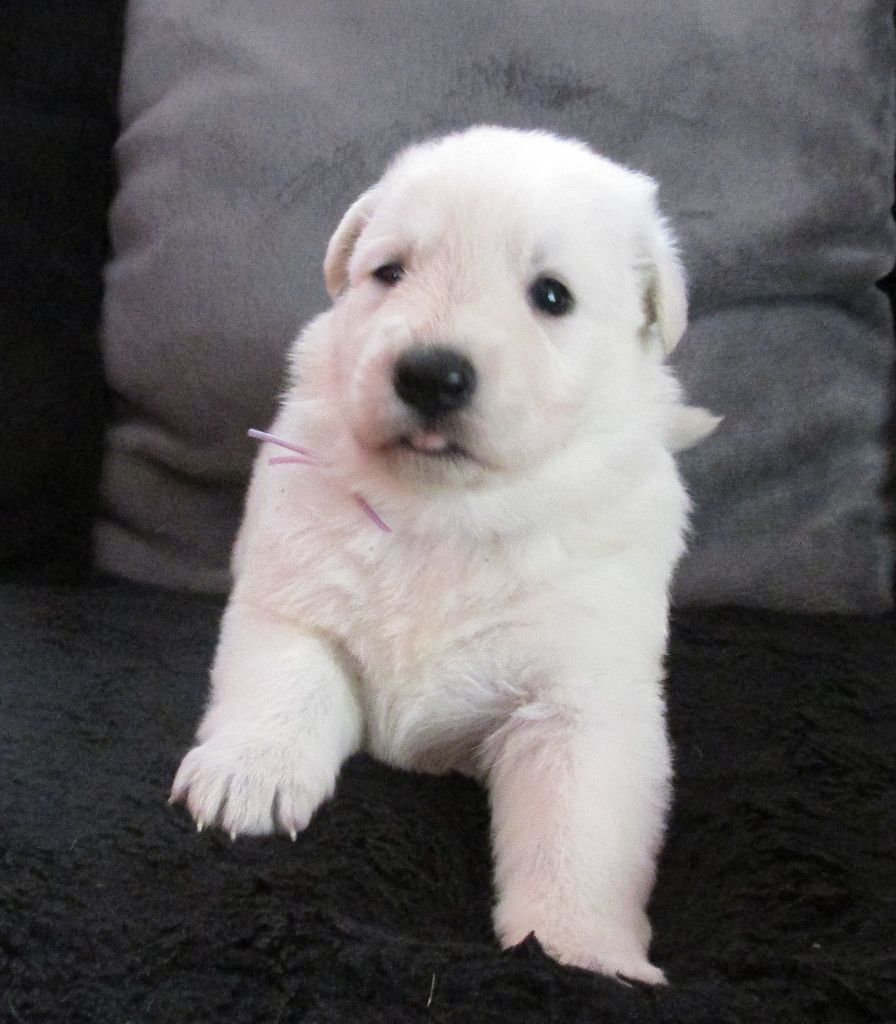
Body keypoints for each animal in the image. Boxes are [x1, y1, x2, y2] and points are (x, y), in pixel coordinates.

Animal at [171, 126, 717, 984]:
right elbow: (282, 680)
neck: (448, 512)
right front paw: (245, 774)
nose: (430, 373)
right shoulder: (292, 594)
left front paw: (580, 949)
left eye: (551, 295)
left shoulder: (581, 703)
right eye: (389, 272)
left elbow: (580, 832)